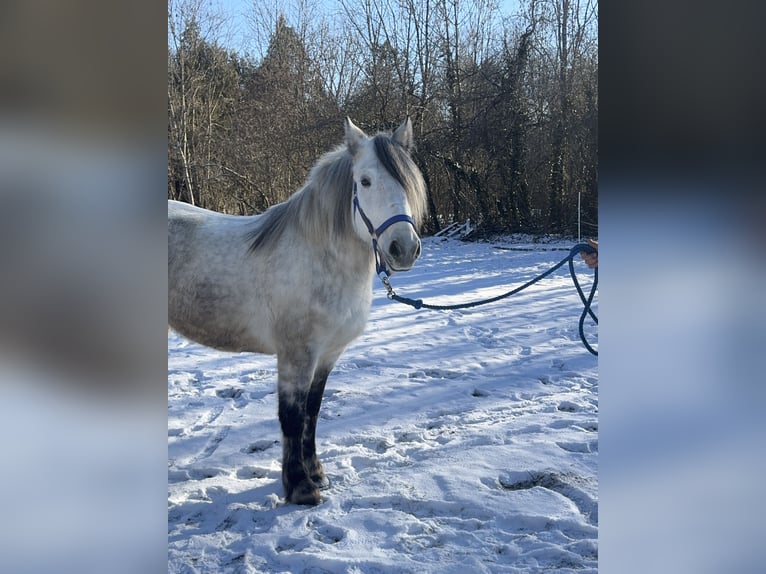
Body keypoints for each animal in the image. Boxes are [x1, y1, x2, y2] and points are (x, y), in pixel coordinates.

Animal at [168, 118, 427, 505]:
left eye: (407, 181)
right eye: (365, 181)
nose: (403, 248)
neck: (318, 257)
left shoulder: (327, 354)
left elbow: (312, 413)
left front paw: (316, 473)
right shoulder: (295, 355)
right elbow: (291, 416)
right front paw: (301, 487)